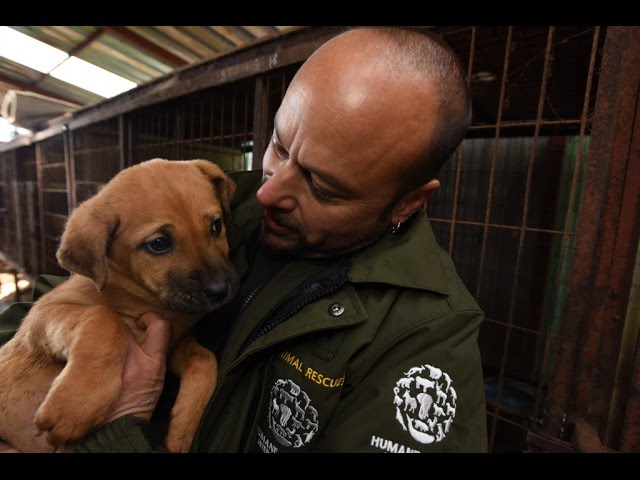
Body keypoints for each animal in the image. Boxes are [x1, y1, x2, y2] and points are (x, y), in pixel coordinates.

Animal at [0, 159, 238, 452]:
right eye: (159, 243)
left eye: (216, 226)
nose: (220, 291)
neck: (146, 300)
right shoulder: (43, 313)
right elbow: (104, 318)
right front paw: (75, 405)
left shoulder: (173, 344)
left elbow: (205, 359)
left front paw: (183, 431)